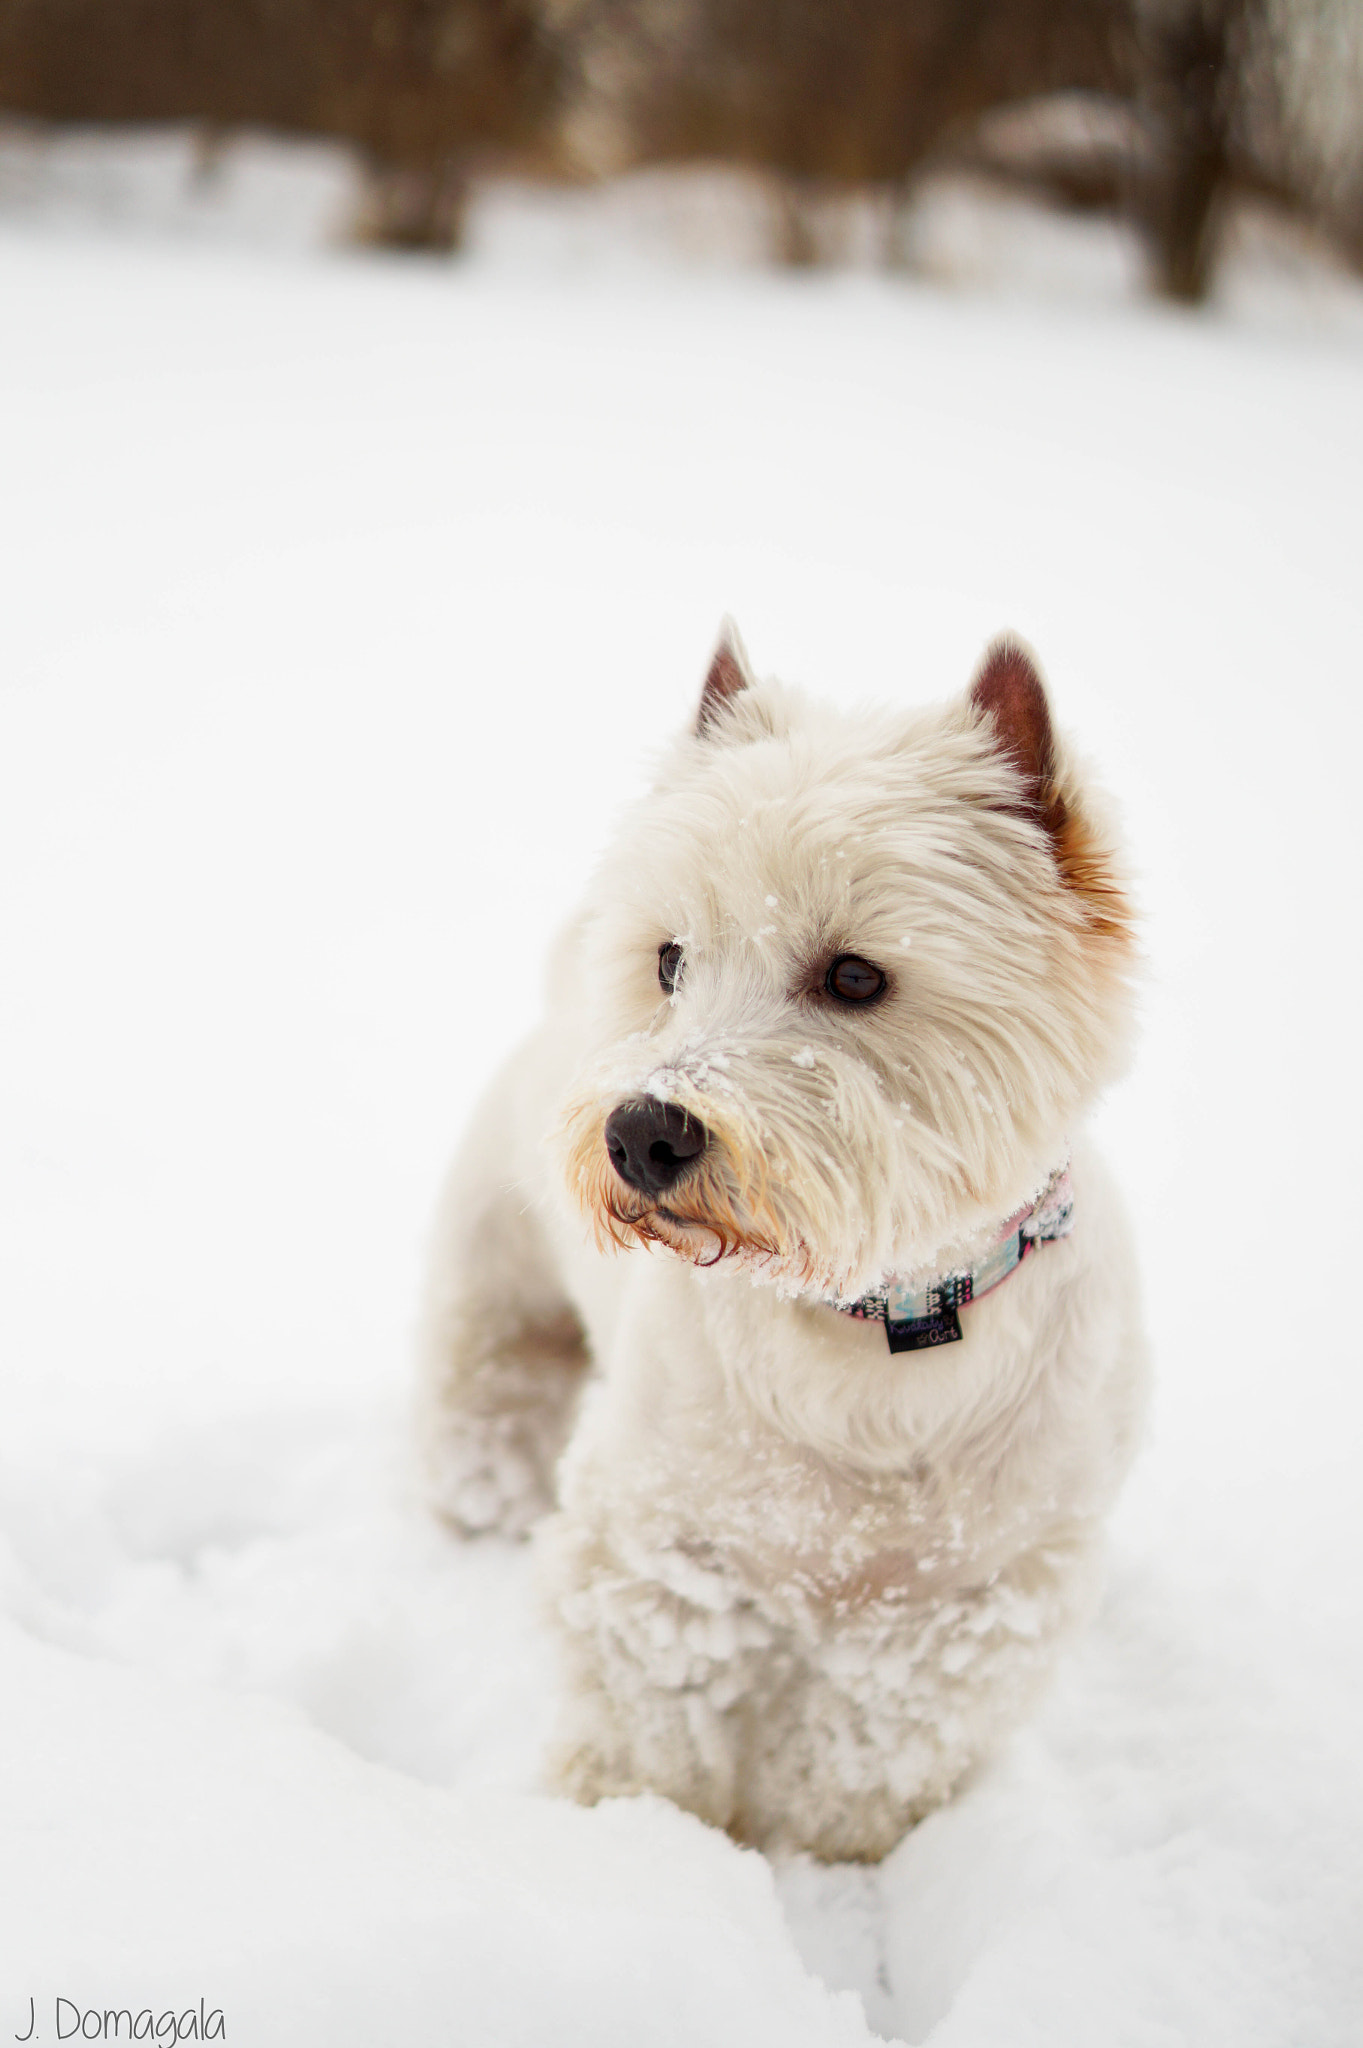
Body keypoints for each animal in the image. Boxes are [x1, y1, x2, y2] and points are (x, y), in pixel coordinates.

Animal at [419, 630, 1137, 1867]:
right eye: (670, 959)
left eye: (855, 975)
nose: (640, 1132)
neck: (871, 1322)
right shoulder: (654, 1549)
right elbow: (650, 1728)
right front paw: (640, 1838)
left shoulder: (975, 1600)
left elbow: (863, 1752)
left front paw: (817, 1852)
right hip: (495, 1269)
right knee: (493, 1384)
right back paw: (481, 1505)